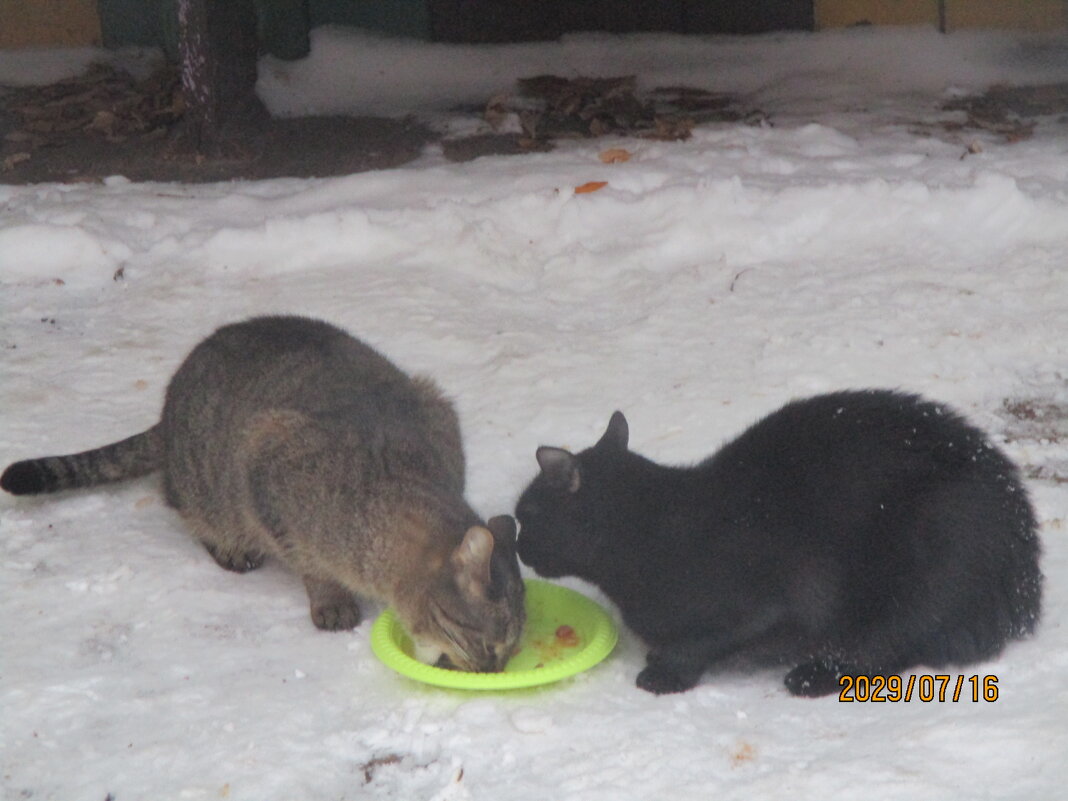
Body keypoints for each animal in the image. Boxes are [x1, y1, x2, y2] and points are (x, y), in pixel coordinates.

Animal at [516, 390, 1042, 696]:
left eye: (525, 517)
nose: (517, 545)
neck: (648, 528)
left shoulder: (771, 602)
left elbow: (705, 641)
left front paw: (668, 672)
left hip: (925, 555)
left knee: (887, 646)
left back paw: (814, 676)